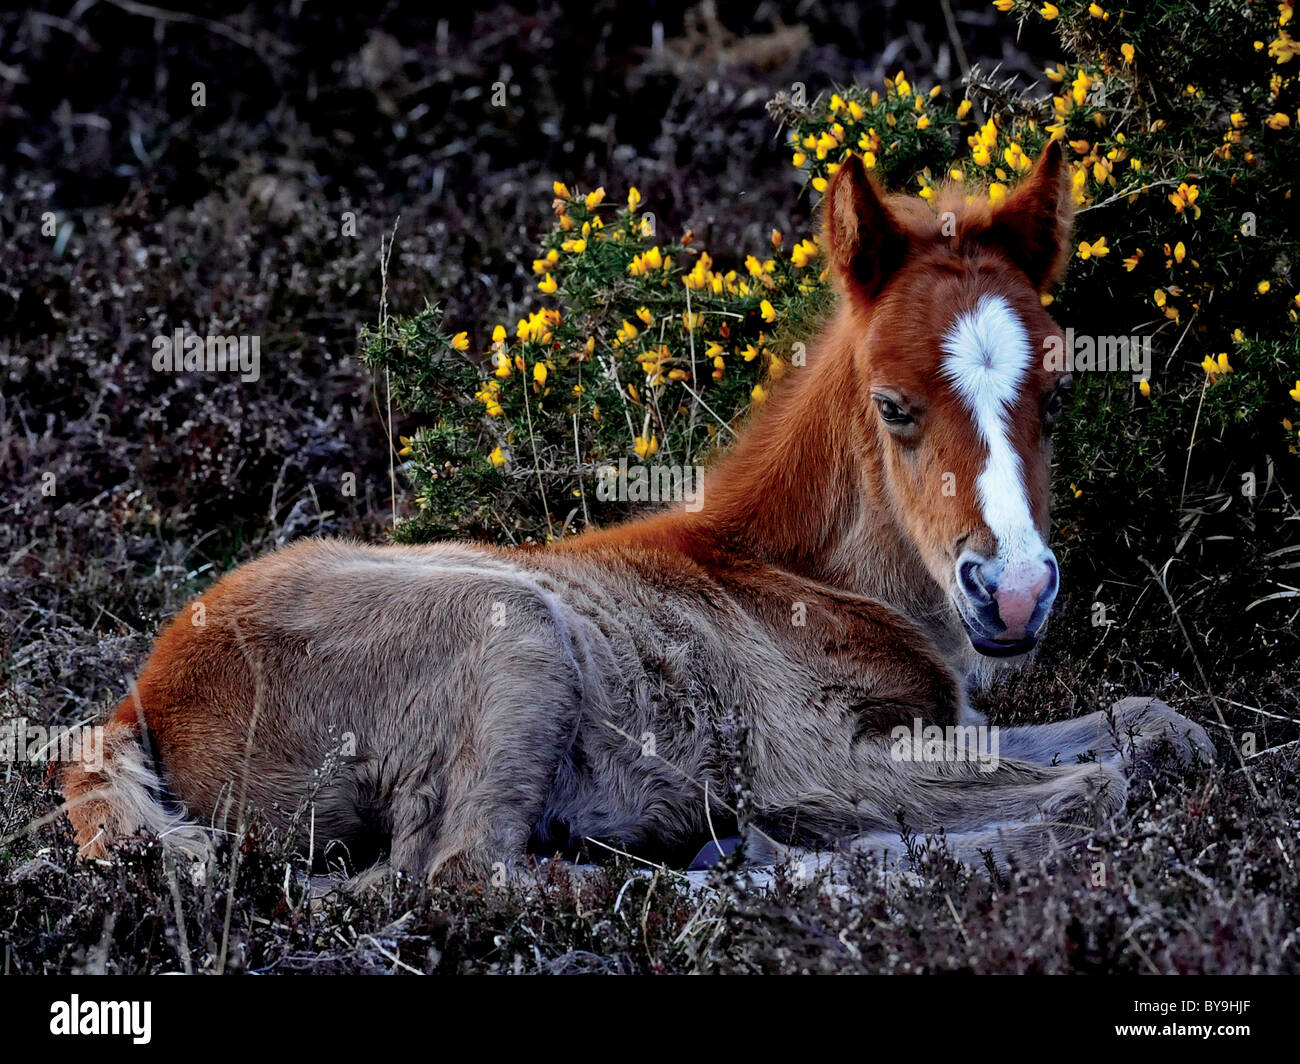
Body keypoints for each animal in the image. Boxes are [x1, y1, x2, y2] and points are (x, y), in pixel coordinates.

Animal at [65, 141, 1211, 879]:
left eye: (1055, 396)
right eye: (894, 406)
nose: (1012, 593)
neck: (795, 579)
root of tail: (145, 694)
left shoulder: (950, 728)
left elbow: (1157, 725)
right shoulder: (825, 759)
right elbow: (1096, 789)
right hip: (515, 633)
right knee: (458, 878)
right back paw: (757, 862)